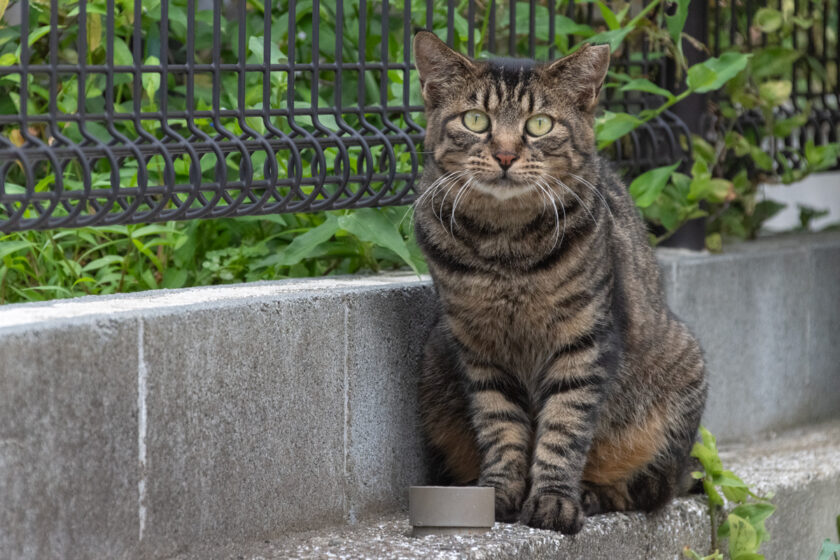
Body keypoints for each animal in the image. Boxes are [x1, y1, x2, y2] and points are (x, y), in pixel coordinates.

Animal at [410, 29, 704, 532]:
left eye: (540, 125)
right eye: (476, 120)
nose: (505, 154)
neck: (506, 245)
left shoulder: (582, 340)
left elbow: (565, 427)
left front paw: (552, 499)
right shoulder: (480, 347)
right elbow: (500, 425)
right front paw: (498, 492)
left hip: (683, 373)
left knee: (647, 489)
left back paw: (590, 493)